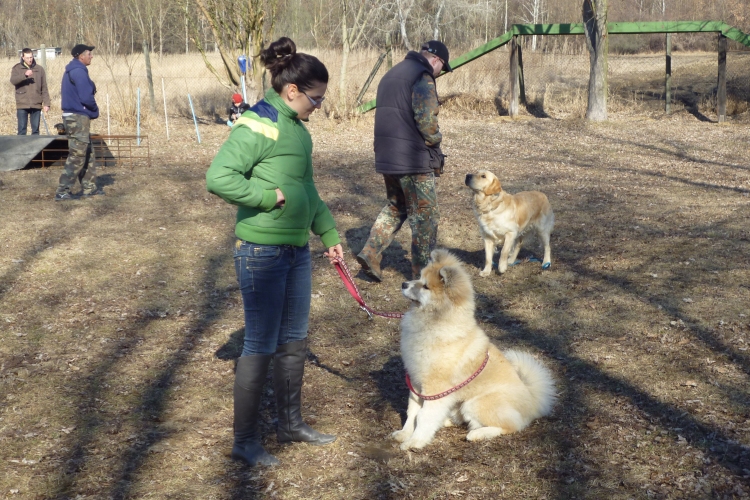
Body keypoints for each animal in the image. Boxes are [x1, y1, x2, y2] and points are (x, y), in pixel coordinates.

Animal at [394, 250, 560, 450]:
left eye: (425, 286)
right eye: (418, 277)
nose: (404, 284)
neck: (435, 323)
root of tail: (534, 401)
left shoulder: (435, 389)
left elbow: (424, 416)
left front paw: (415, 442)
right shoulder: (416, 383)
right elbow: (412, 411)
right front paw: (405, 434)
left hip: (475, 403)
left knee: (511, 426)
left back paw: (477, 434)